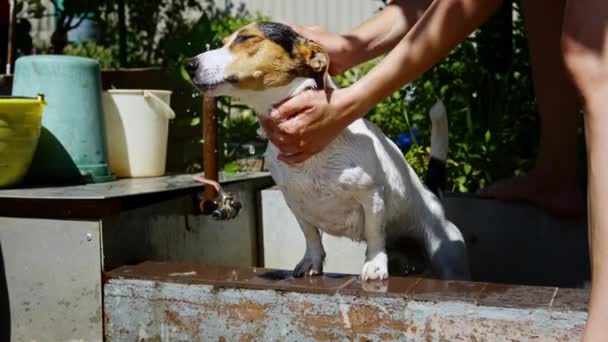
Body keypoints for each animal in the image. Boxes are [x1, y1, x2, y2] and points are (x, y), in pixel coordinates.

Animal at [185, 21, 470, 280]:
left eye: (246, 38)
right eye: (224, 42)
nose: (189, 64)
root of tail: (429, 193)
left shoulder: (372, 196)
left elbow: (375, 234)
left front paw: (375, 265)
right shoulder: (295, 203)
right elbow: (310, 236)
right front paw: (311, 262)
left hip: (447, 253)